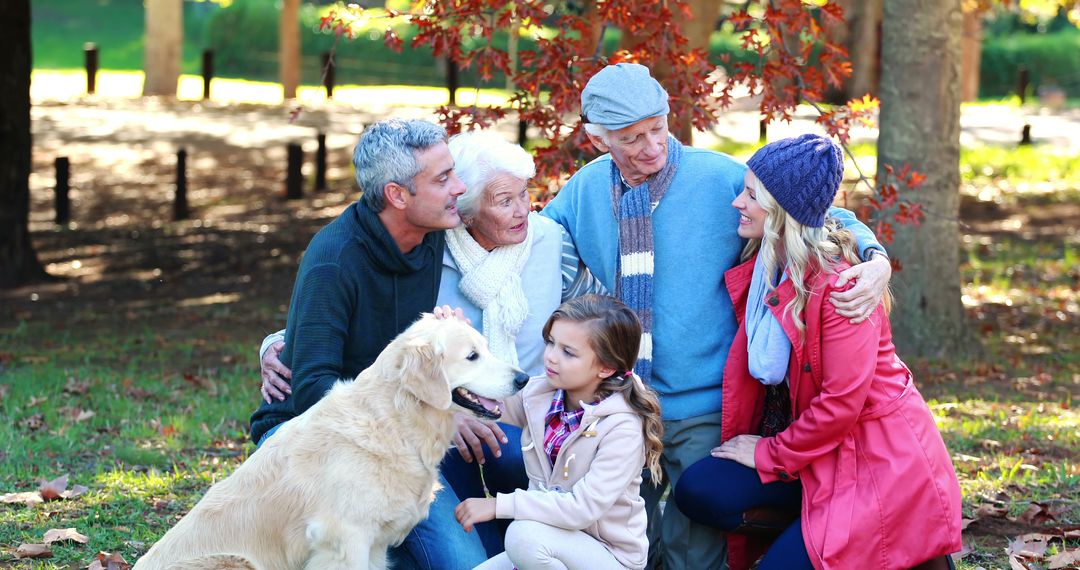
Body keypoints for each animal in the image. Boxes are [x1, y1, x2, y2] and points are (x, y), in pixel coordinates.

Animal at [132, 315, 529, 570]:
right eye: (472, 356)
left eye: (486, 348)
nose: (523, 378)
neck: (395, 420)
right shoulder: (345, 538)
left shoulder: (375, 544)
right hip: (234, 563)